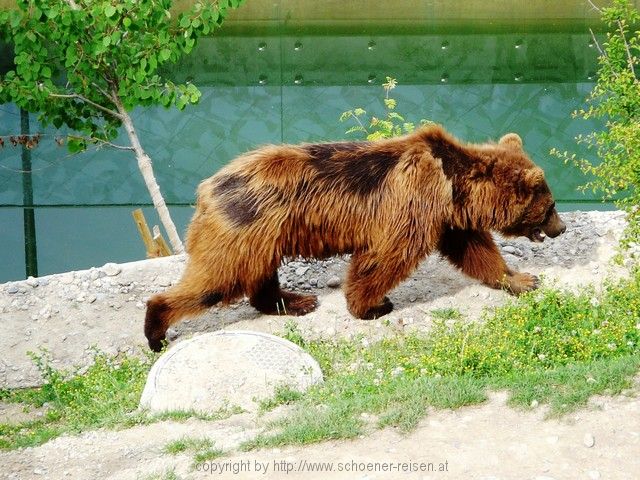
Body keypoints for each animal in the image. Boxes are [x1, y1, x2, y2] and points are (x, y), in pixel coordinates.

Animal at [145, 124, 564, 350]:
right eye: (550, 205)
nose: (561, 228)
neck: (454, 187)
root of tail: (207, 187)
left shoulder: (450, 219)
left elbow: (477, 250)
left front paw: (521, 279)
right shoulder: (414, 203)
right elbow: (387, 254)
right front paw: (373, 305)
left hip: (263, 236)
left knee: (257, 276)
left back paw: (295, 301)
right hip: (243, 229)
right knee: (215, 278)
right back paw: (156, 329)